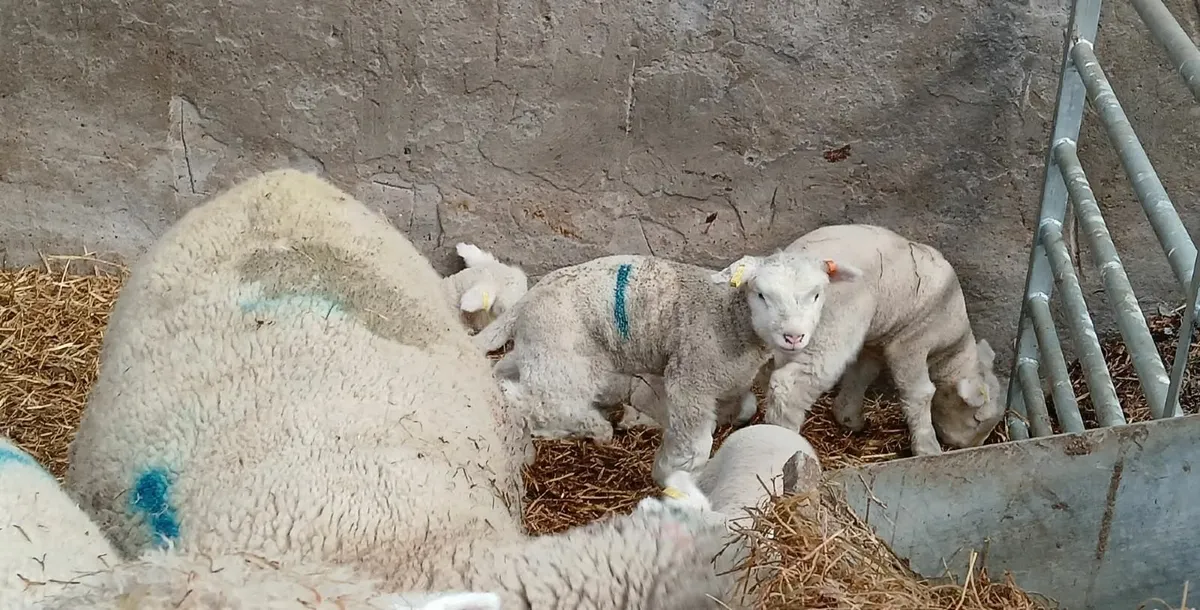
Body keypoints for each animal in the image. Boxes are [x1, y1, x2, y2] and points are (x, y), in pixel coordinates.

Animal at [472, 251, 863, 485]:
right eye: (762, 295)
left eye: (817, 294)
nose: (793, 336)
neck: (729, 318)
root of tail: (529, 299)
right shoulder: (691, 378)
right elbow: (696, 443)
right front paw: (670, 473)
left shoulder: (719, 378)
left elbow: (743, 408)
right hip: (564, 358)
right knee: (529, 399)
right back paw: (593, 426)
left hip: (542, 351)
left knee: (509, 374)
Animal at [765, 224, 1005, 456]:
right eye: (976, 419)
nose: (974, 445)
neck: (950, 350)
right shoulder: (914, 339)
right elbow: (920, 392)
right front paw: (928, 448)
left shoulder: (876, 342)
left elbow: (862, 374)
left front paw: (849, 417)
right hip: (836, 319)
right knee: (792, 384)